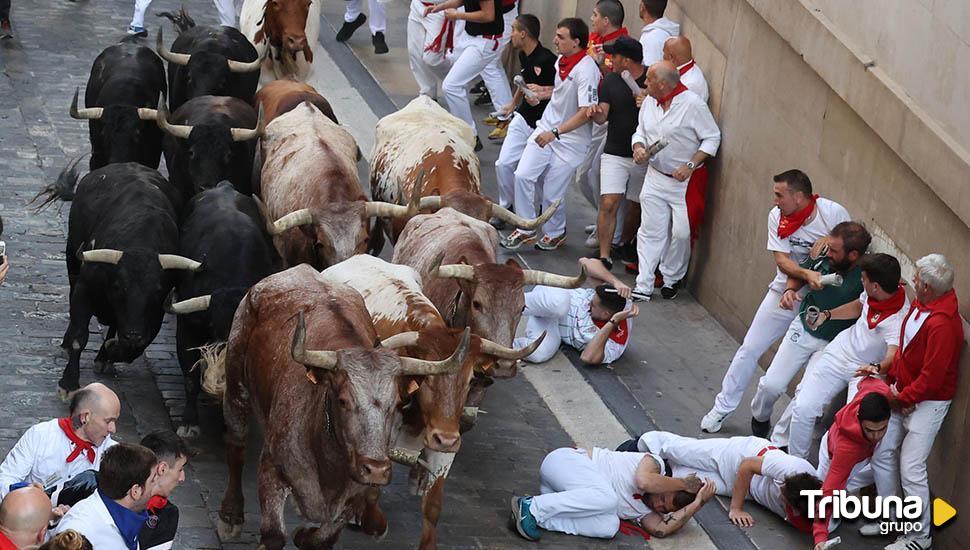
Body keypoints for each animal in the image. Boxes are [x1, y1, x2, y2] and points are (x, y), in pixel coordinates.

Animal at [215, 266, 468, 548]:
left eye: (396, 403)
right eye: (343, 400)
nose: (376, 469)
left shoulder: (354, 495)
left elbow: (321, 537)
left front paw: (304, 534)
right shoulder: (272, 469)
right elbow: (273, 535)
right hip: (236, 386)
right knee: (236, 445)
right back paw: (230, 515)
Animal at [320, 254, 540, 548]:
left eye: (471, 379)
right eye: (427, 378)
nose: (445, 438)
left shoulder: (447, 440)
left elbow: (433, 504)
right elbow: (373, 490)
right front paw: (368, 519)